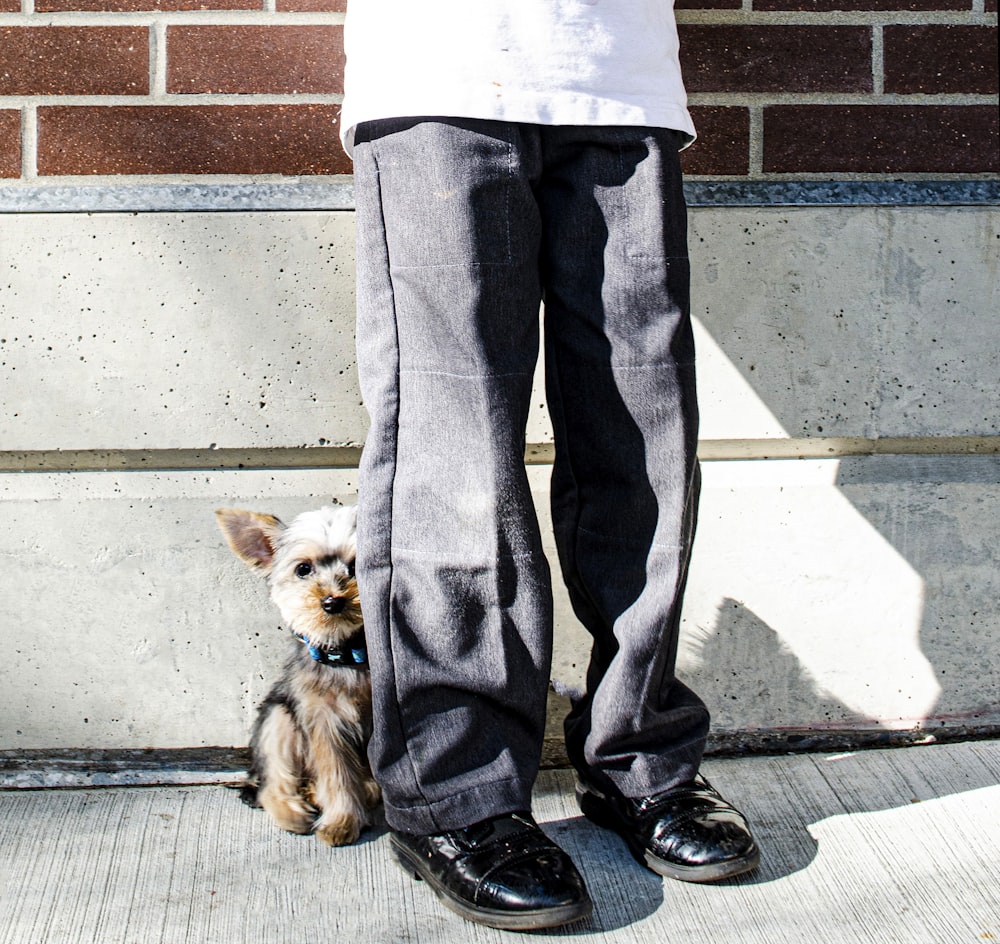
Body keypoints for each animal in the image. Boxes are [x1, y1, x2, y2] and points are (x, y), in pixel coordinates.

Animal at [215, 506, 378, 844]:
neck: (347, 653)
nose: (332, 601)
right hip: (279, 715)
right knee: (272, 784)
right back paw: (293, 812)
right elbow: (336, 772)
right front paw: (341, 821)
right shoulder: (322, 719)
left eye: (357, 566)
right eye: (303, 569)